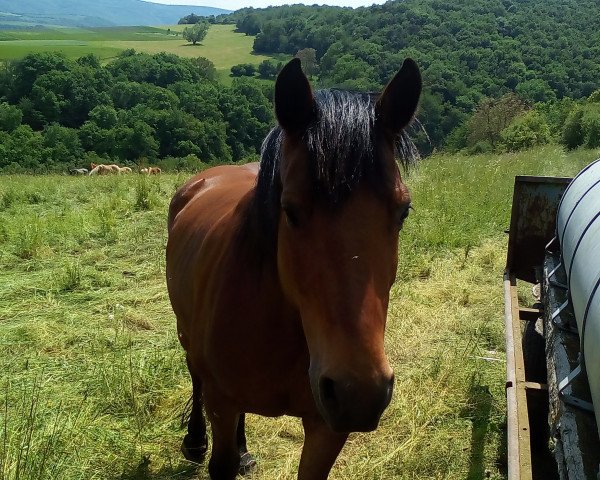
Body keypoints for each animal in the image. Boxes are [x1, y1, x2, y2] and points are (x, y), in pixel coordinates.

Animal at [165, 58, 422, 478]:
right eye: (290, 210)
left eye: (404, 211)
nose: (358, 393)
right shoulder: (222, 404)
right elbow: (221, 458)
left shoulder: (326, 427)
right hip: (186, 333)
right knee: (194, 374)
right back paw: (194, 440)